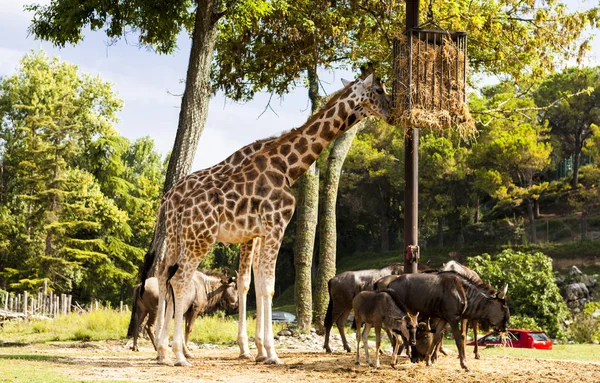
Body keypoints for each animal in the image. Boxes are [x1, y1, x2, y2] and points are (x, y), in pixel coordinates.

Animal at [155, 73, 390, 368]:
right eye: (380, 90)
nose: (392, 112)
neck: (287, 167)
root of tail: (170, 201)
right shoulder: (273, 227)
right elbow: (266, 287)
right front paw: (269, 352)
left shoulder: (257, 233)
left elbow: (255, 284)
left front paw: (258, 350)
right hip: (200, 238)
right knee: (178, 281)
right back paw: (177, 354)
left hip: (179, 238)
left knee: (165, 277)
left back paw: (164, 351)